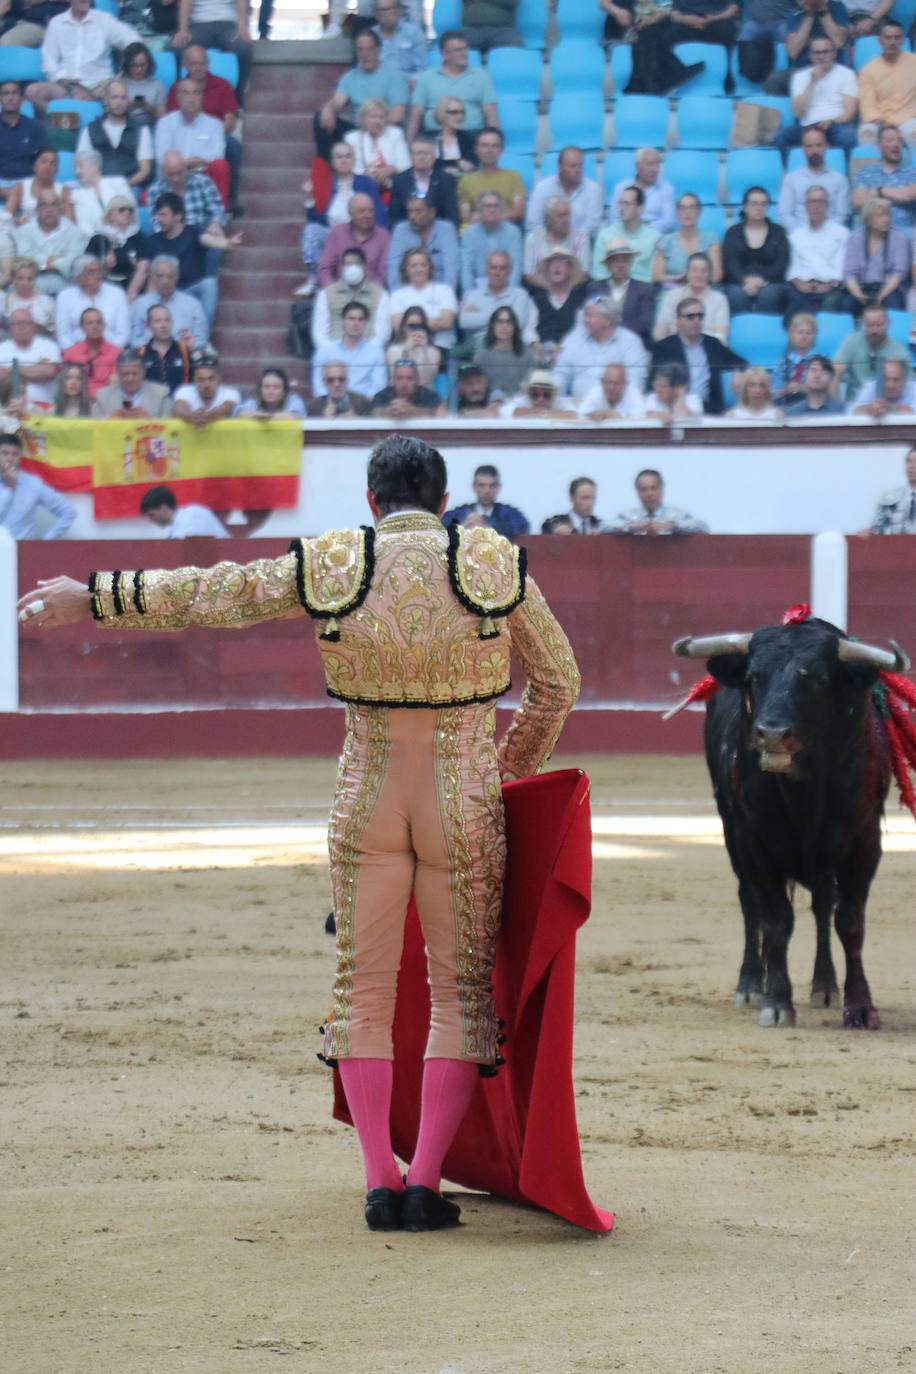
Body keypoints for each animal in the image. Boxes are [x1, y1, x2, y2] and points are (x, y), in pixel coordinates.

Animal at [672, 618, 911, 1027]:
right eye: (754, 676)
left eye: (818, 678)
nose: (771, 733)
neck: (806, 794)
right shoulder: (754, 842)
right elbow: (776, 921)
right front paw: (777, 1003)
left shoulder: (865, 843)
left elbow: (850, 921)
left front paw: (860, 1007)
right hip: (731, 833)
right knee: (750, 904)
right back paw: (752, 984)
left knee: (822, 908)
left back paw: (825, 987)